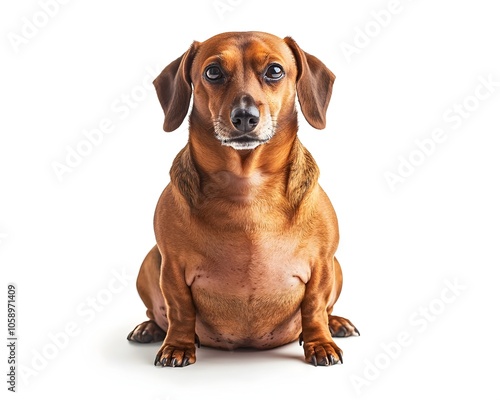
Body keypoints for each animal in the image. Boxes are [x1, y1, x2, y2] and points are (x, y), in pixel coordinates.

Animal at [127, 31, 358, 368]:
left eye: (275, 70)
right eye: (213, 72)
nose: (245, 116)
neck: (247, 185)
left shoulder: (322, 264)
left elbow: (314, 306)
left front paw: (320, 343)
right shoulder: (171, 267)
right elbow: (180, 309)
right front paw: (178, 346)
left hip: (337, 266)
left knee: (325, 310)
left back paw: (336, 323)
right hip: (149, 262)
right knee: (158, 313)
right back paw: (150, 328)